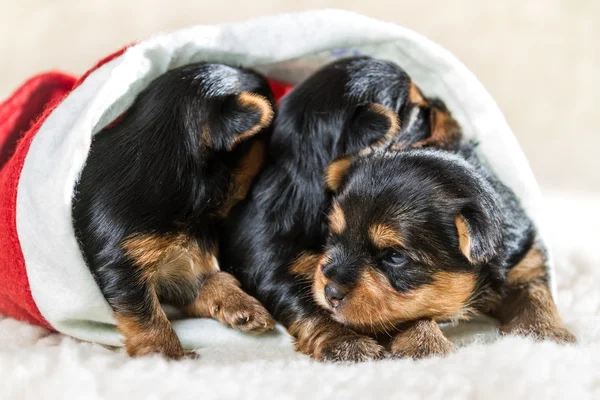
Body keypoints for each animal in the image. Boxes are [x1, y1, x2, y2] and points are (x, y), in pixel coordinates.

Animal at [72, 63, 276, 360]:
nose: (264, 76)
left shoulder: (183, 266)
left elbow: (210, 281)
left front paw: (242, 306)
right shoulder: (122, 262)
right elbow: (148, 316)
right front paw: (168, 357)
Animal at [220, 54, 460, 360]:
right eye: (419, 115)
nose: (444, 104)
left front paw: (424, 339)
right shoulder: (268, 262)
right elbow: (311, 303)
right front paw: (345, 342)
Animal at [318, 145, 576, 360]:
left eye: (394, 256)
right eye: (334, 237)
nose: (330, 293)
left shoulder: (526, 264)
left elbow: (537, 295)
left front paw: (546, 333)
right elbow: (409, 315)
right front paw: (427, 346)